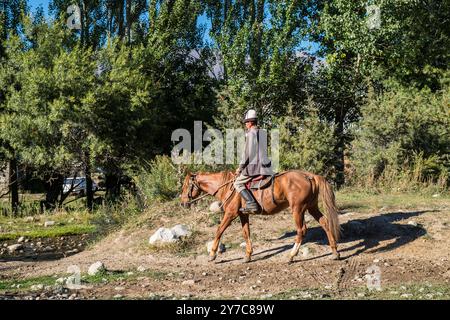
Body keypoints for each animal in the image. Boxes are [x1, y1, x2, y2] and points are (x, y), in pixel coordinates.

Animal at [180, 171, 342, 264]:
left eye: (185, 186)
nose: (182, 203)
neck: (226, 186)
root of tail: (309, 176)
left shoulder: (231, 214)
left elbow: (219, 230)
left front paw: (212, 254)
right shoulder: (243, 215)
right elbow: (246, 233)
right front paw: (248, 255)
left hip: (298, 209)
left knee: (301, 230)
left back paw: (291, 256)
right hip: (311, 207)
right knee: (325, 223)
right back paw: (335, 252)